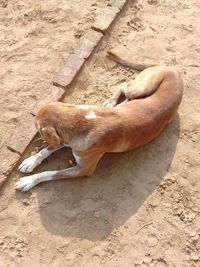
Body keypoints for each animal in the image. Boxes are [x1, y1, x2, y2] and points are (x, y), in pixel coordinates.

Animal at [16, 50, 184, 193]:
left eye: (38, 130)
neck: (82, 120)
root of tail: (172, 69)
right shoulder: (68, 140)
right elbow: (47, 149)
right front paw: (31, 161)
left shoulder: (83, 169)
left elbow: (49, 173)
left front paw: (29, 180)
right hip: (140, 90)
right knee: (125, 90)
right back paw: (112, 103)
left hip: (140, 88)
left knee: (124, 85)